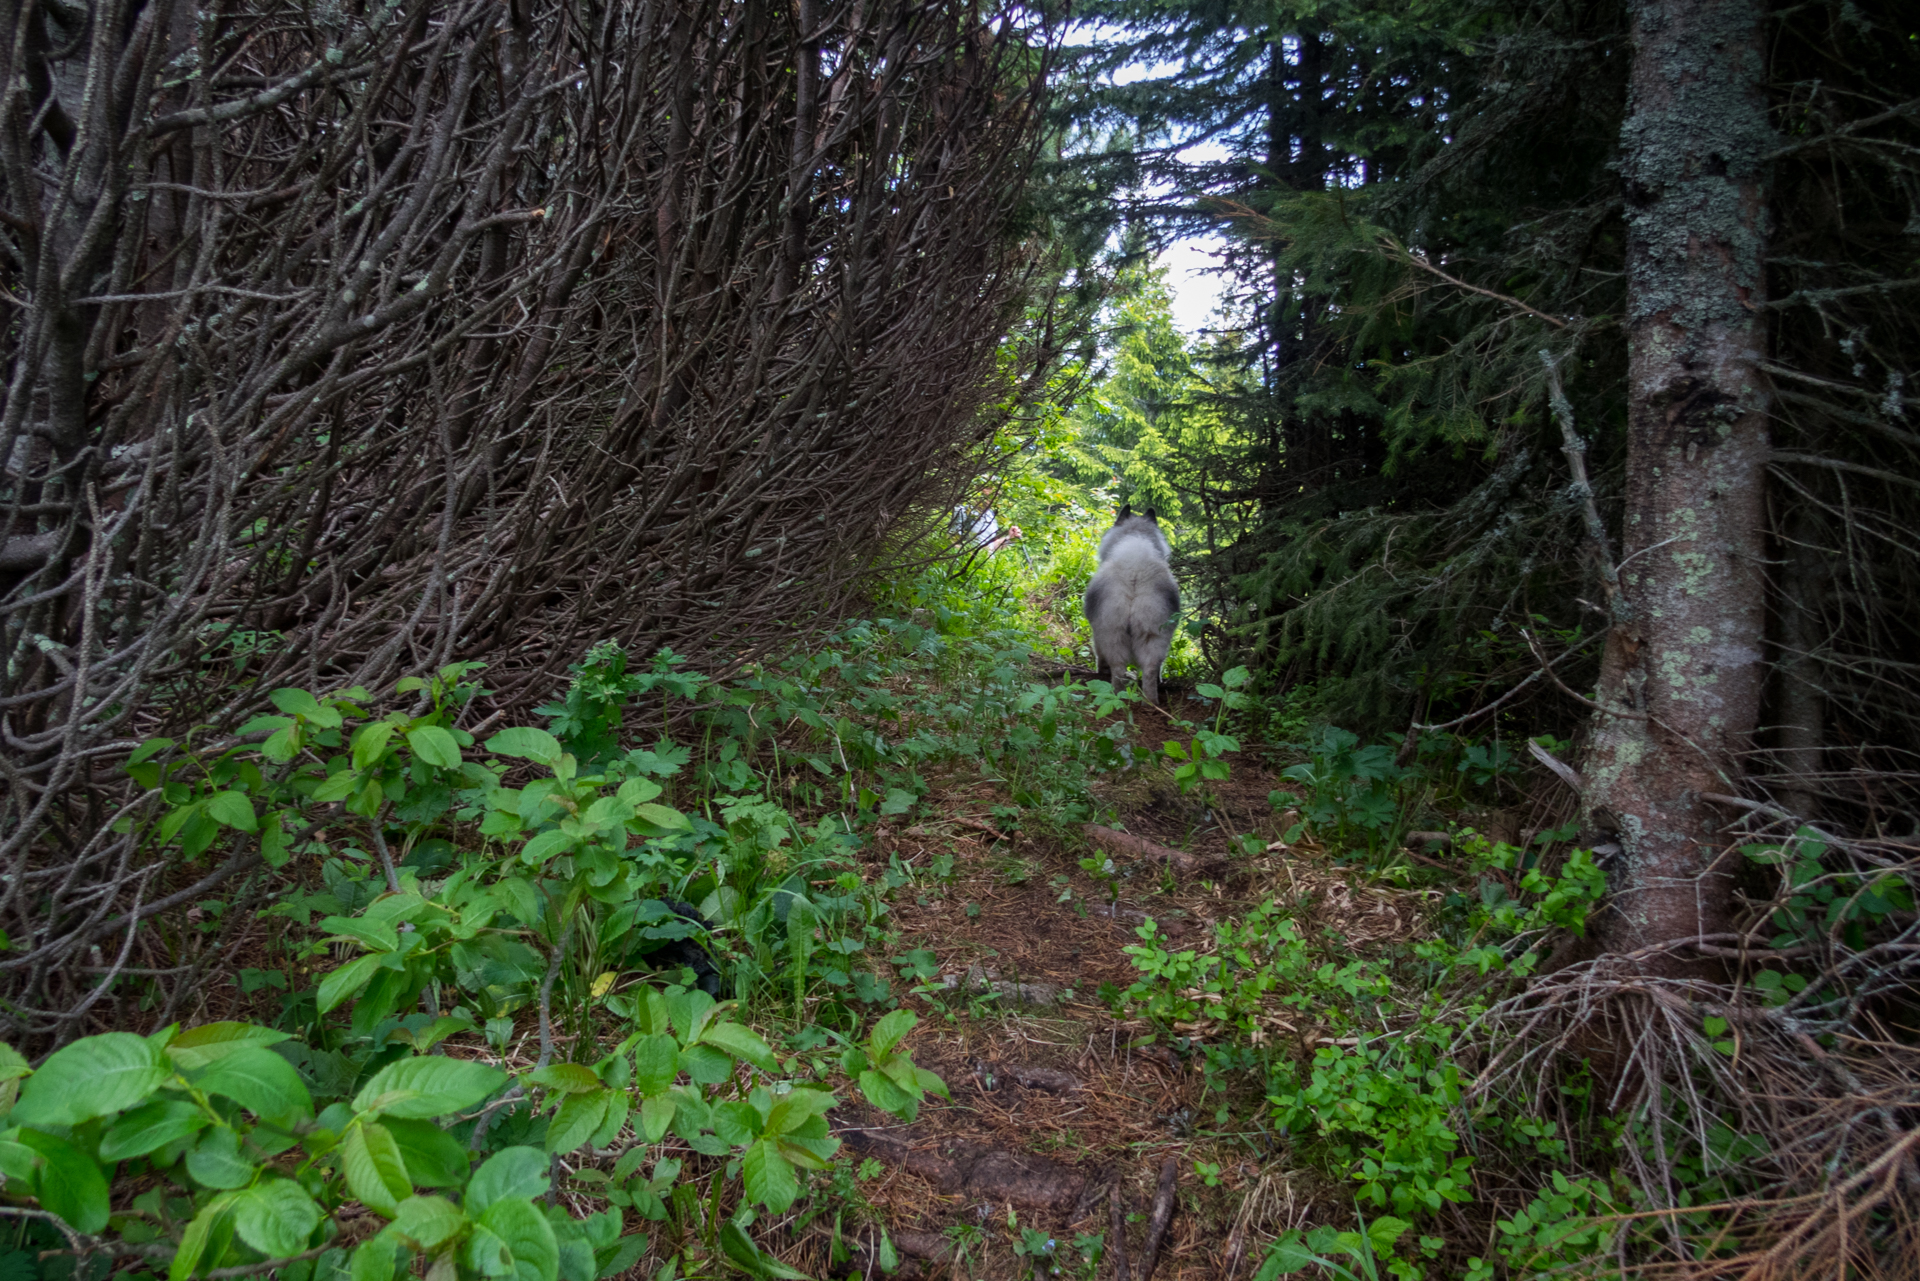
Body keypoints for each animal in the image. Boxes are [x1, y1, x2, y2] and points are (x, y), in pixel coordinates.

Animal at [1090, 507, 1175, 706]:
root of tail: (1135, 574)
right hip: (1155, 635)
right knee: (1151, 670)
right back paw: (1151, 702)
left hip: (1111, 633)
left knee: (1118, 669)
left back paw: (1115, 696)